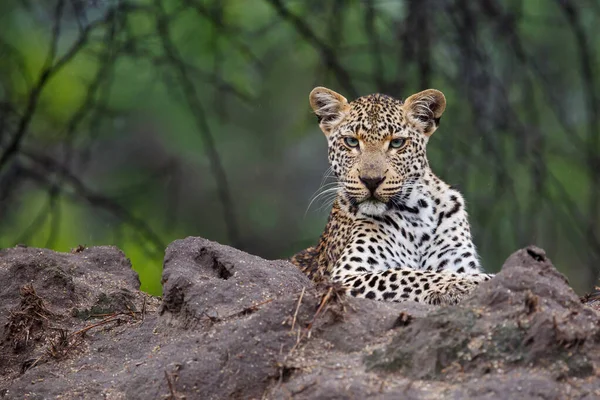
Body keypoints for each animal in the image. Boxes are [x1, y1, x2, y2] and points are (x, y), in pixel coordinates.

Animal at [290, 86, 492, 306]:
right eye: (351, 141)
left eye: (397, 143)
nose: (371, 180)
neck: (416, 214)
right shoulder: (344, 276)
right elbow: (408, 274)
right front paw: (467, 283)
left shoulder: (457, 260)